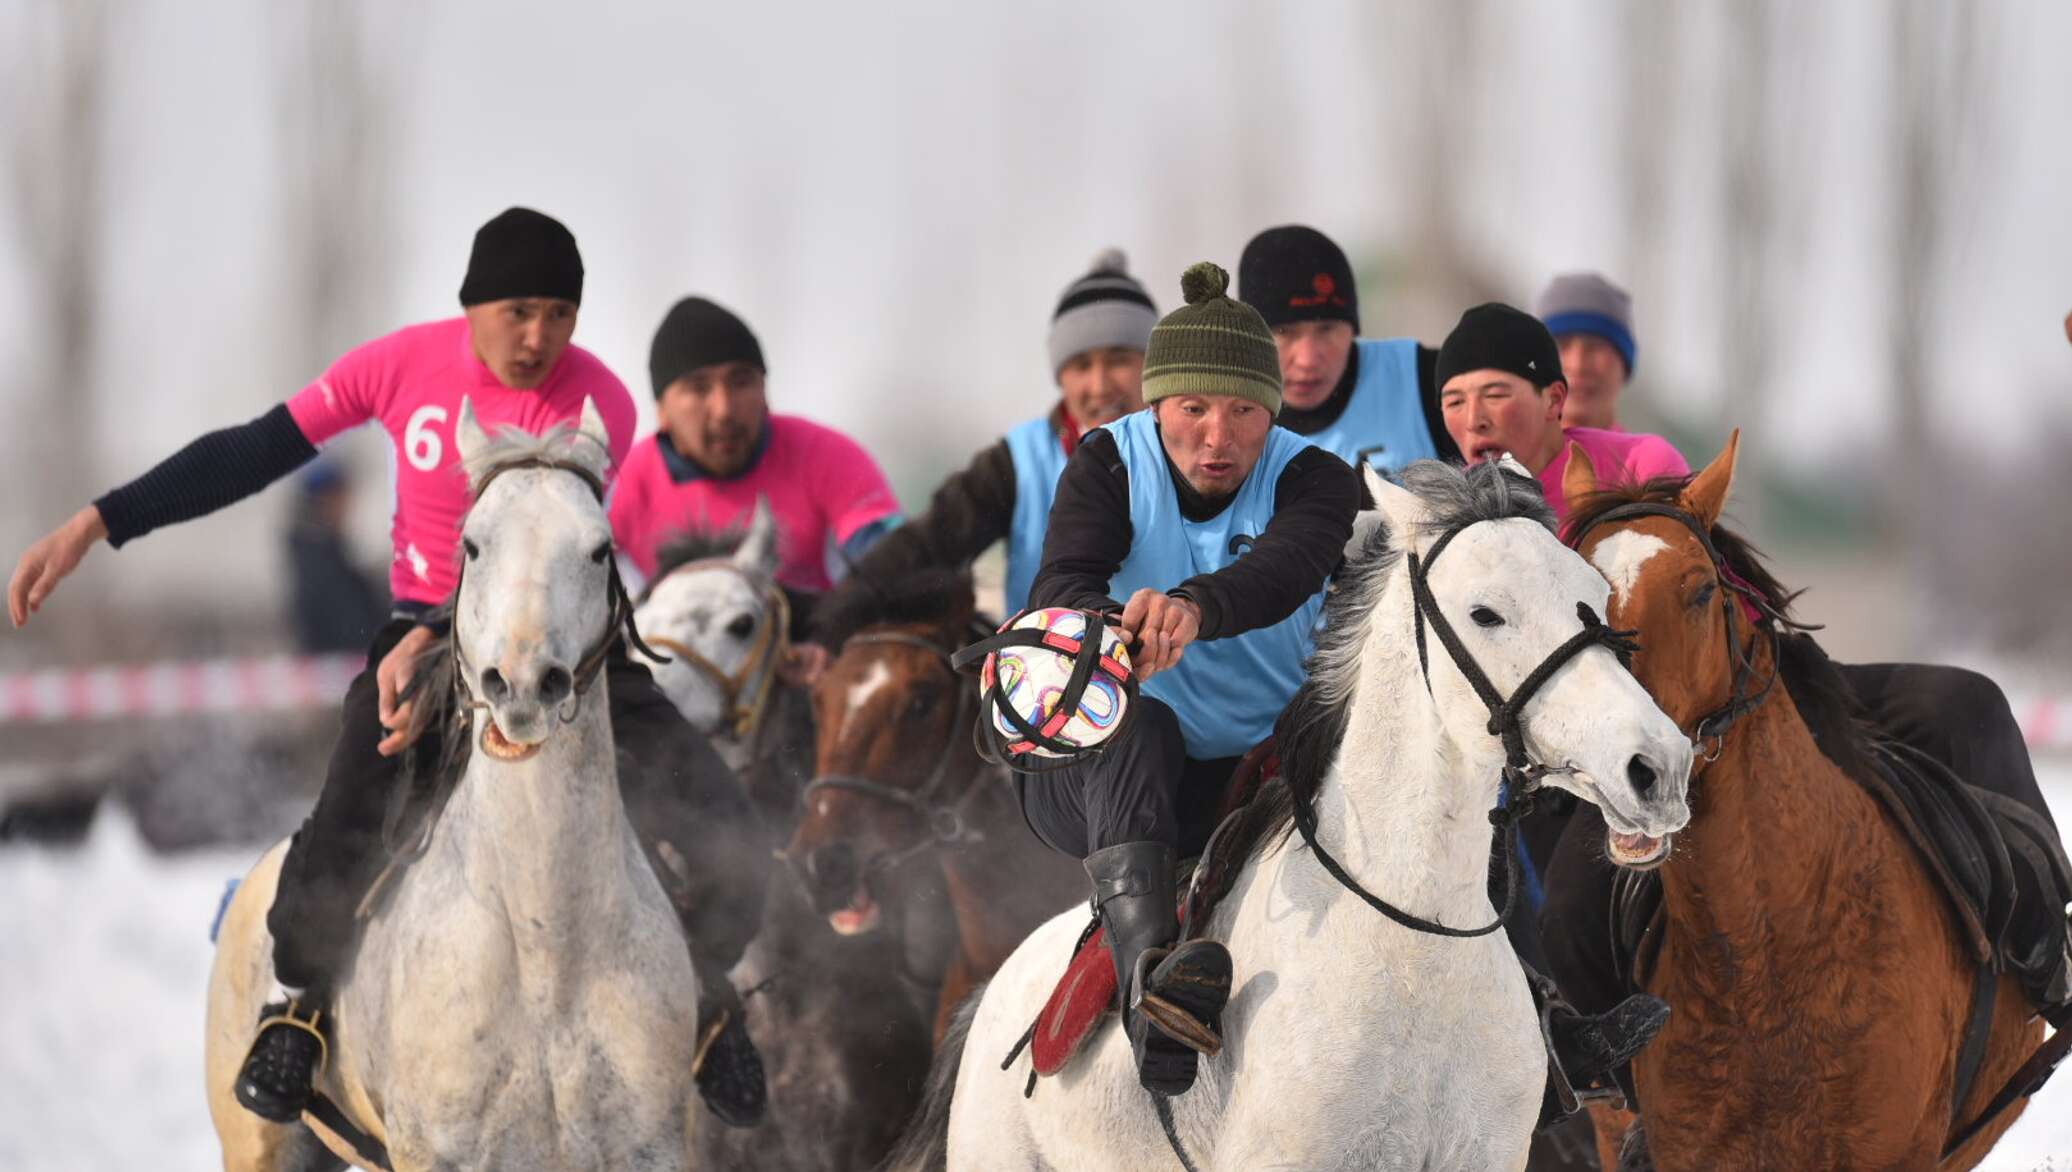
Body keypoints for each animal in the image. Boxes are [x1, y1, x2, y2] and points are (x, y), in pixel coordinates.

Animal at [208, 399, 704, 1167]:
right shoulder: (436, 1152)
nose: (523, 681)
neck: (546, 952)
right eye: (471, 545)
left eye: (600, 549)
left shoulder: (652, 1149)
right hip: (263, 1145)